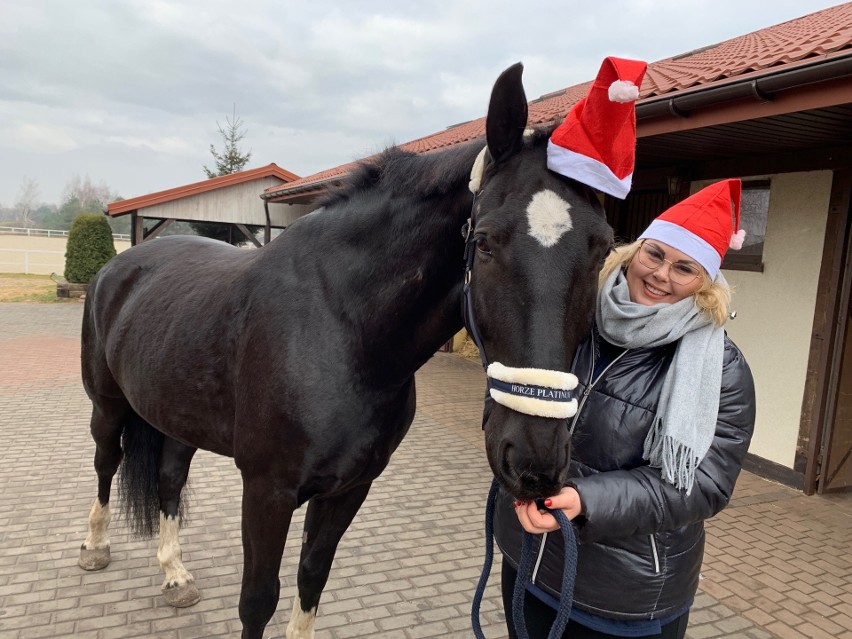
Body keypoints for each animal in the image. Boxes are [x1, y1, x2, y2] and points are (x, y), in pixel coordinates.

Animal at [78, 63, 612, 639]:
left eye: (604, 247)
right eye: (485, 242)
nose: (534, 460)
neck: (342, 331)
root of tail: (119, 266)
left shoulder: (349, 488)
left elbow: (312, 579)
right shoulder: (267, 491)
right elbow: (258, 600)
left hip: (178, 418)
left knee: (170, 480)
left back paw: (175, 573)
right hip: (108, 408)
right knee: (106, 464)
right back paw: (94, 548)